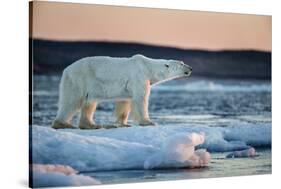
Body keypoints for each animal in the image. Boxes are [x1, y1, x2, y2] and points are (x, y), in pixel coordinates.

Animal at [51, 54, 191, 129]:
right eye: (181, 64)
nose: (190, 68)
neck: (147, 67)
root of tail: (66, 70)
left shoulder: (129, 87)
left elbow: (125, 102)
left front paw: (123, 123)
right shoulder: (139, 77)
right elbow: (140, 100)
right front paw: (148, 122)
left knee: (89, 102)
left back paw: (92, 125)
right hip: (79, 80)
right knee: (72, 101)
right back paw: (63, 124)